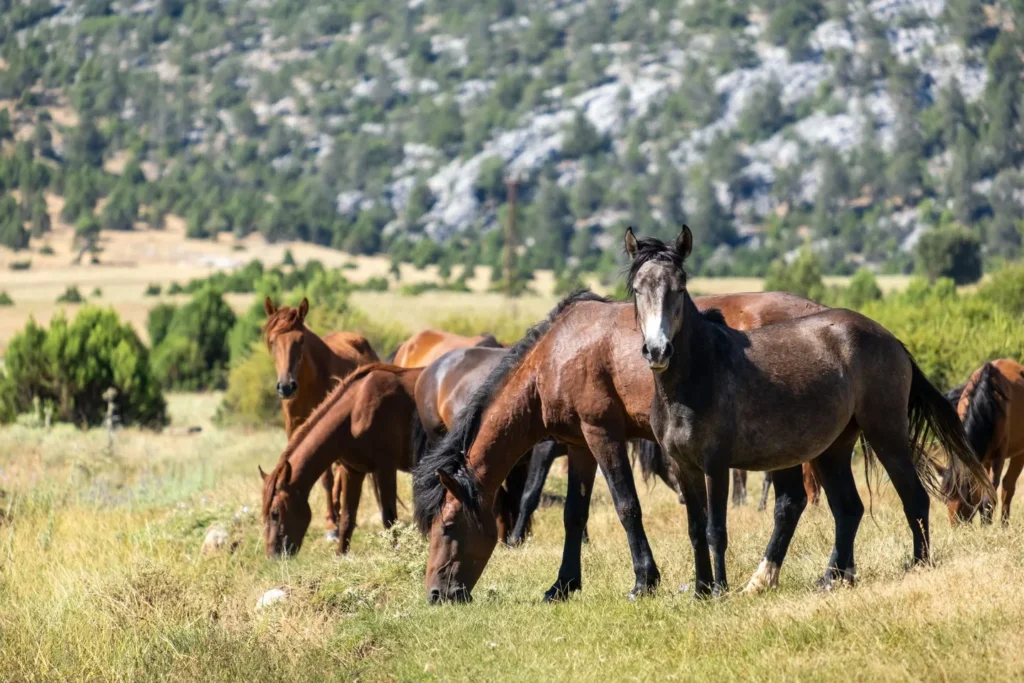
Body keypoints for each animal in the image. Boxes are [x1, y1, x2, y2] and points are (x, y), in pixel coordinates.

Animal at [259, 362, 426, 556]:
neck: (355, 412)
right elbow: (347, 517)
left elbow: (389, 516)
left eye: (275, 513)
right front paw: (341, 555)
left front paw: (396, 553)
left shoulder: (385, 469)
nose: (273, 555)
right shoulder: (353, 472)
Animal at [263, 297, 379, 541]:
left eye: (300, 340)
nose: (286, 387)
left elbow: (326, 477)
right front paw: (331, 518)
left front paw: (331, 525)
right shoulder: (294, 430)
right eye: (272, 341)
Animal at [413, 289, 832, 604]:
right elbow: (574, 515)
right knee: (793, 502)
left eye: (447, 526)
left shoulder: (603, 435)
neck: (556, 354)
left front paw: (644, 581)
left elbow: (627, 506)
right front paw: (563, 585)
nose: (435, 594)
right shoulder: (579, 445)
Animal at [624, 226, 990, 598]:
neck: (697, 376)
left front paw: (719, 591)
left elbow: (716, 530)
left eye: (679, 287)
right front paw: (700, 591)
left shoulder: (716, 466)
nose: (657, 350)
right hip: (834, 449)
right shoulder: (684, 467)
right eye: (638, 289)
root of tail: (891, 339)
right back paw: (832, 578)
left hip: (886, 435)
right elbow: (696, 530)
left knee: (913, 498)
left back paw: (917, 564)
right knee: (848, 509)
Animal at [943, 359, 1024, 525]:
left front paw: (987, 524)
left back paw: (1004, 524)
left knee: (1008, 486)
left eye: (964, 501)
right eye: (946, 501)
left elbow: (990, 494)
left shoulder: (999, 456)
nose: (955, 527)